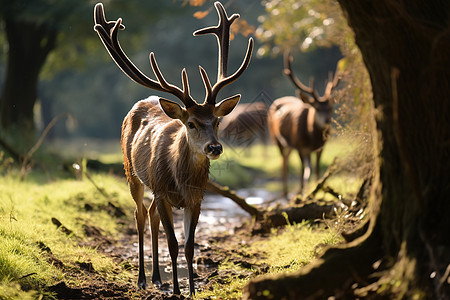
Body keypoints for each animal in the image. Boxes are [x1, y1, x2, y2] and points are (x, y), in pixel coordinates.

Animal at [92, 1, 253, 296]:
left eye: (217, 121)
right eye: (191, 123)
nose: (214, 147)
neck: (181, 181)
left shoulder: (196, 198)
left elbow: (189, 246)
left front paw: (192, 290)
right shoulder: (163, 191)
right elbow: (174, 244)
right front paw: (177, 290)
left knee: (152, 215)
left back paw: (157, 277)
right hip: (132, 172)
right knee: (140, 214)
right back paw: (142, 279)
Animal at [268, 50, 340, 198]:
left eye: (330, 108)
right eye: (316, 108)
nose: (327, 121)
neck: (312, 138)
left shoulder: (321, 148)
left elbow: (316, 170)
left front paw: (318, 189)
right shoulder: (300, 146)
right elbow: (302, 172)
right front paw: (301, 193)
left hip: (290, 146)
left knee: (288, 161)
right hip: (277, 139)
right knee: (283, 163)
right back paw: (285, 192)